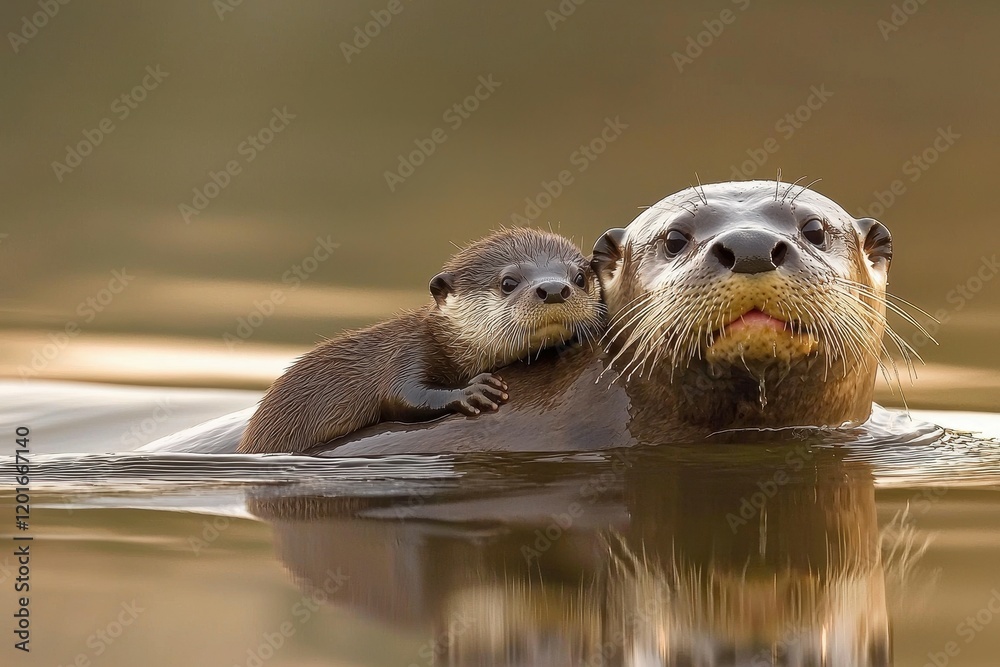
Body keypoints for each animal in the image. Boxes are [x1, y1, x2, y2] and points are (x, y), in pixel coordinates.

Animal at [238, 228, 604, 454]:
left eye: (580, 277)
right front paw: (472, 391)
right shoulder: (409, 352)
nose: (554, 288)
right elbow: (402, 395)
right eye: (508, 282)